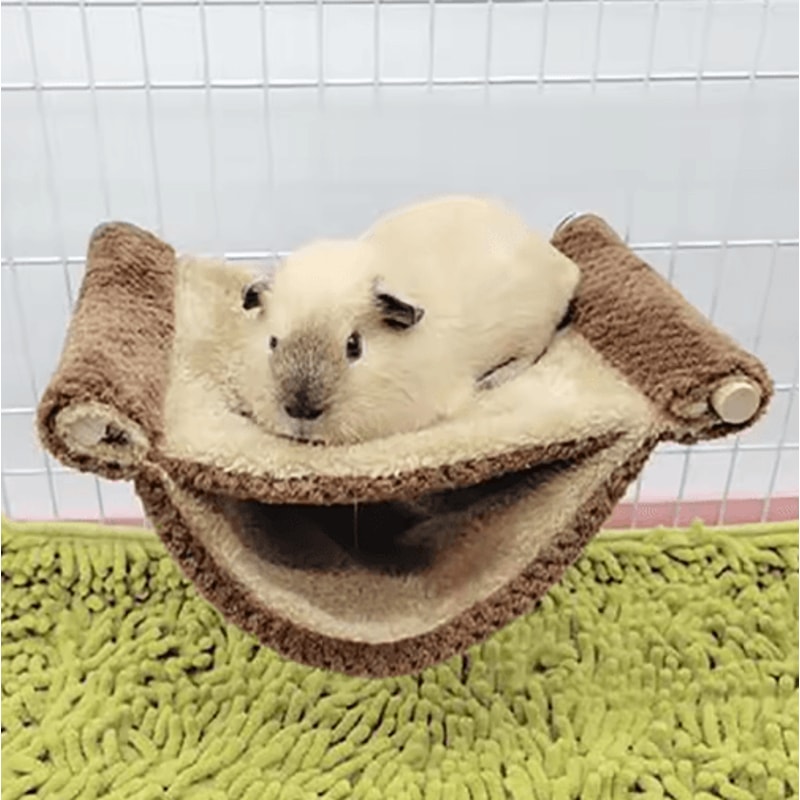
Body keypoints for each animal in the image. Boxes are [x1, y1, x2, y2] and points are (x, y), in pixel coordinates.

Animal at [234, 195, 580, 445]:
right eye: (272, 341)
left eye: (354, 346)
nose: (301, 411)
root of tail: (567, 268)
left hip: (532, 331)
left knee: (532, 353)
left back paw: (492, 380)